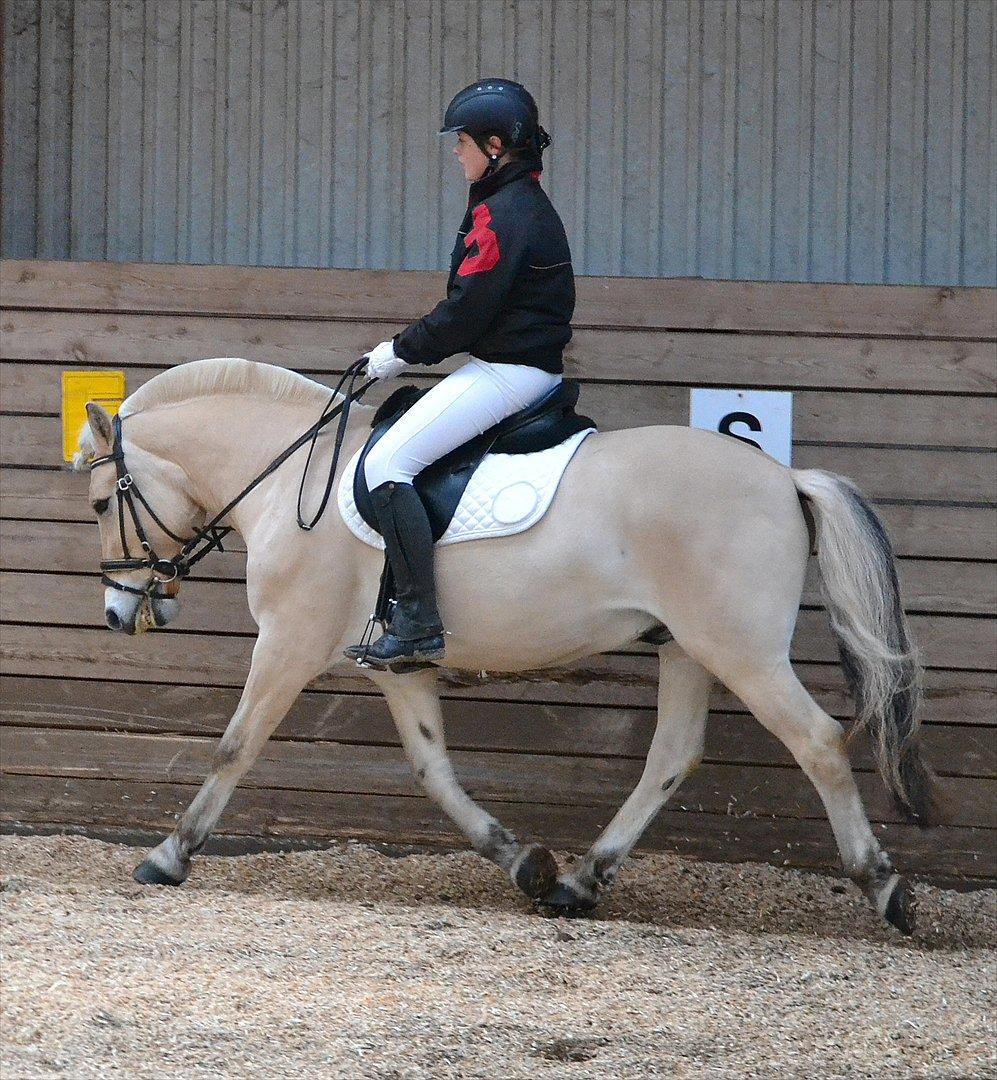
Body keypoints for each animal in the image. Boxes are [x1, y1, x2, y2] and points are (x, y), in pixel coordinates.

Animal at [74, 356, 945, 934]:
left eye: (98, 502)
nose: (119, 613)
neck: (293, 481)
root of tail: (783, 479)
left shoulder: (286, 643)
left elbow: (234, 745)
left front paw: (168, 855)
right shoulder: (398, 666)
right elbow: (433, 771)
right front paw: (522, 862)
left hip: (739, 650)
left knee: (818, 742)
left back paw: (884, 888)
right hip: (685, 646)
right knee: (671, 756)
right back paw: (581, 883)